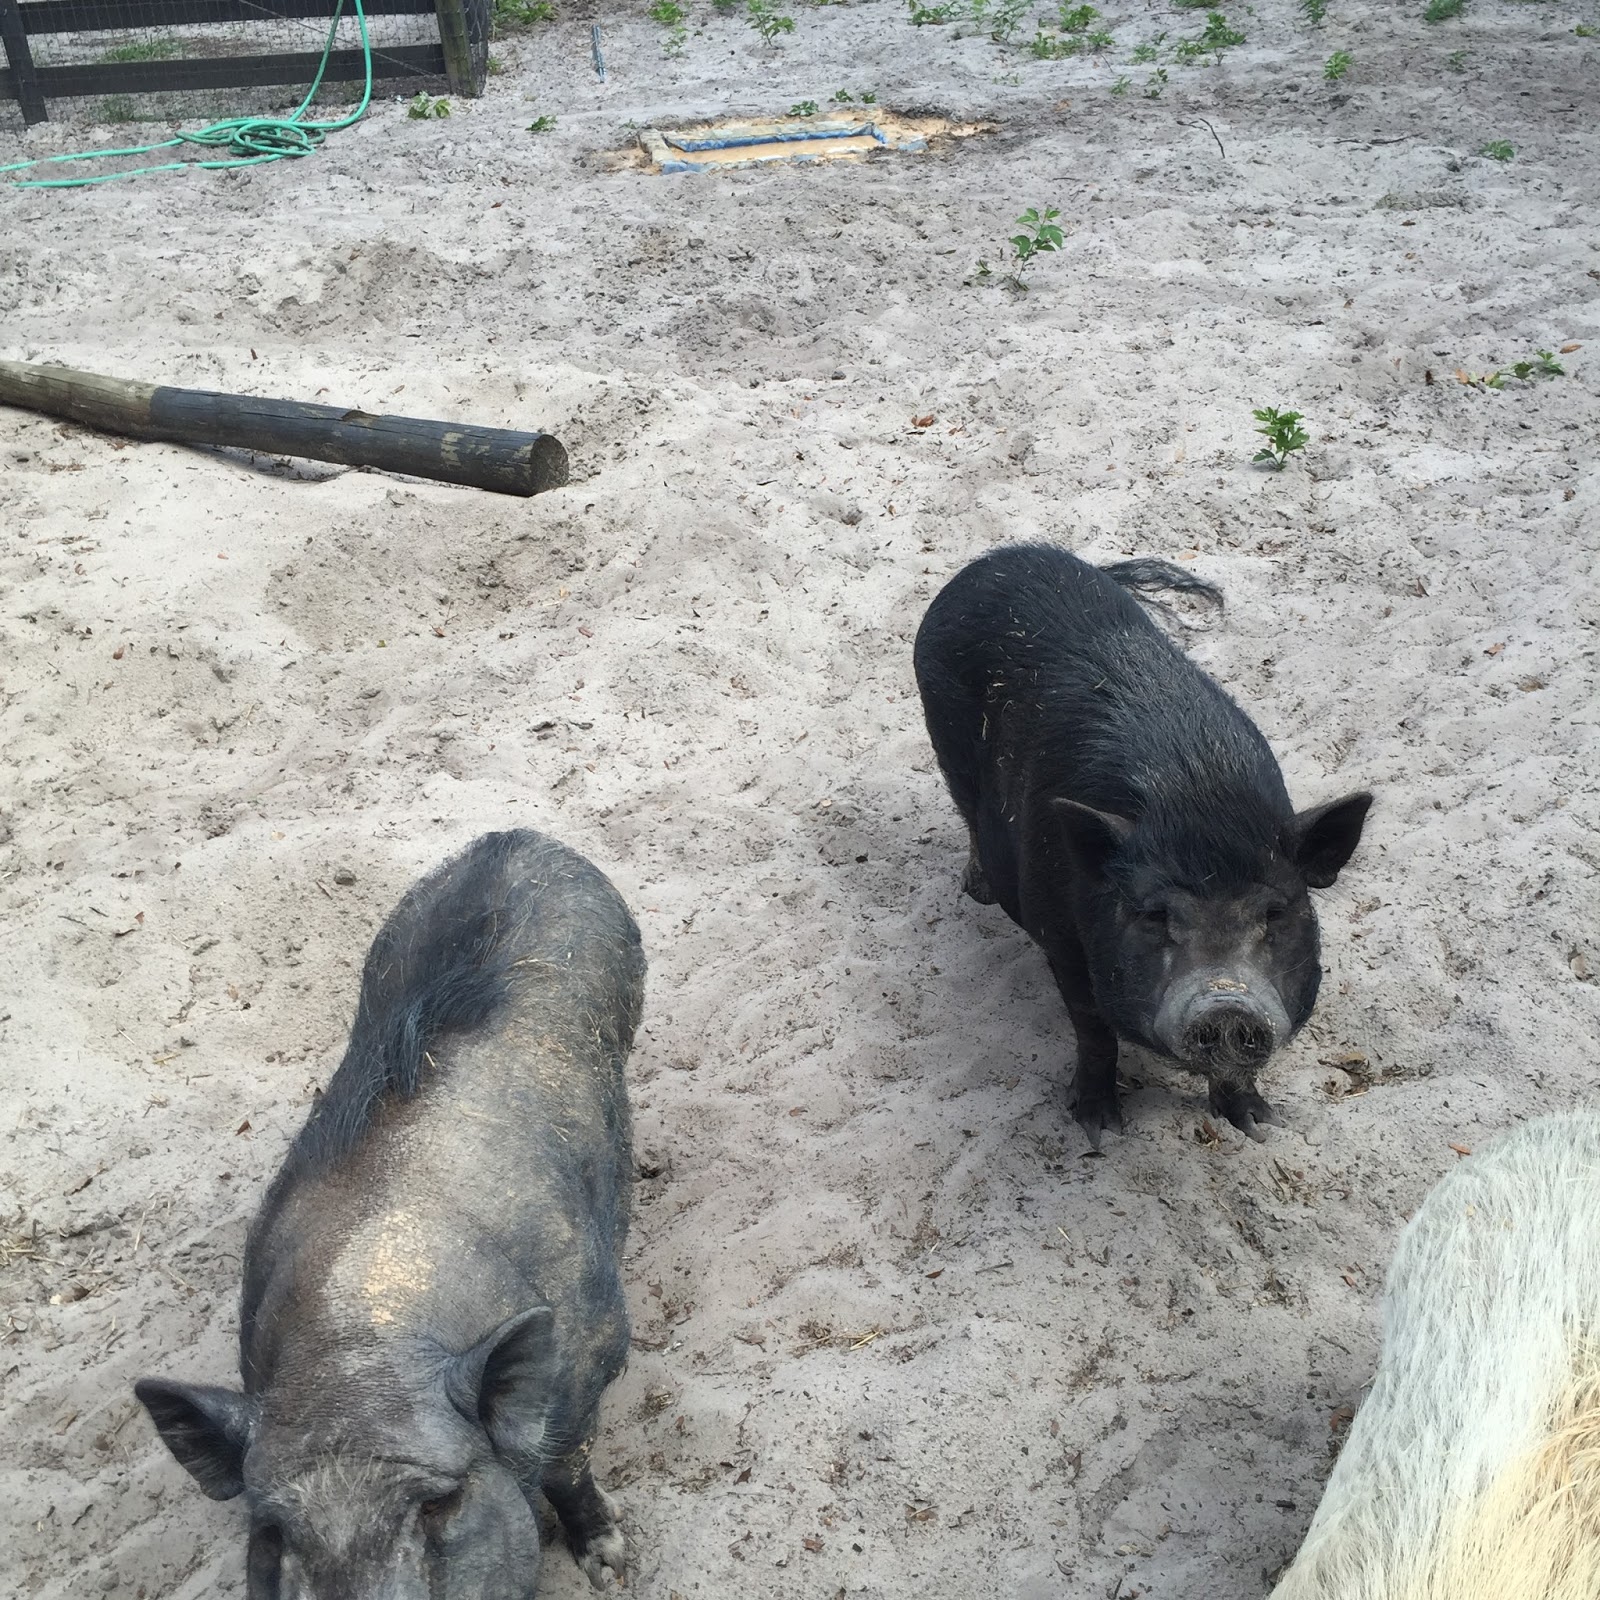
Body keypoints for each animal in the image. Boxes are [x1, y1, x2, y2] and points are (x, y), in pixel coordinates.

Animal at [134, 829, 645, 1597]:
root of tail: (514, 835)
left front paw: (611, 1565)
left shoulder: (595, 1355)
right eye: (272, 1533)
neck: (361, 1344)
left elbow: (567, 1468)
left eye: (439, 1503)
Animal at [913, 544, 1371, 1144]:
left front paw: (1258, 1125)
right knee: (967, 813)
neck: (1198, 802)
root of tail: (1006, 555)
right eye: (1154, 914)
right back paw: (978, 887)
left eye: (1276, 912)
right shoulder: (1060, 937)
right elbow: (1093, 1030)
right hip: (946, 741)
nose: (1226, 1002)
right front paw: (1099, 1129)